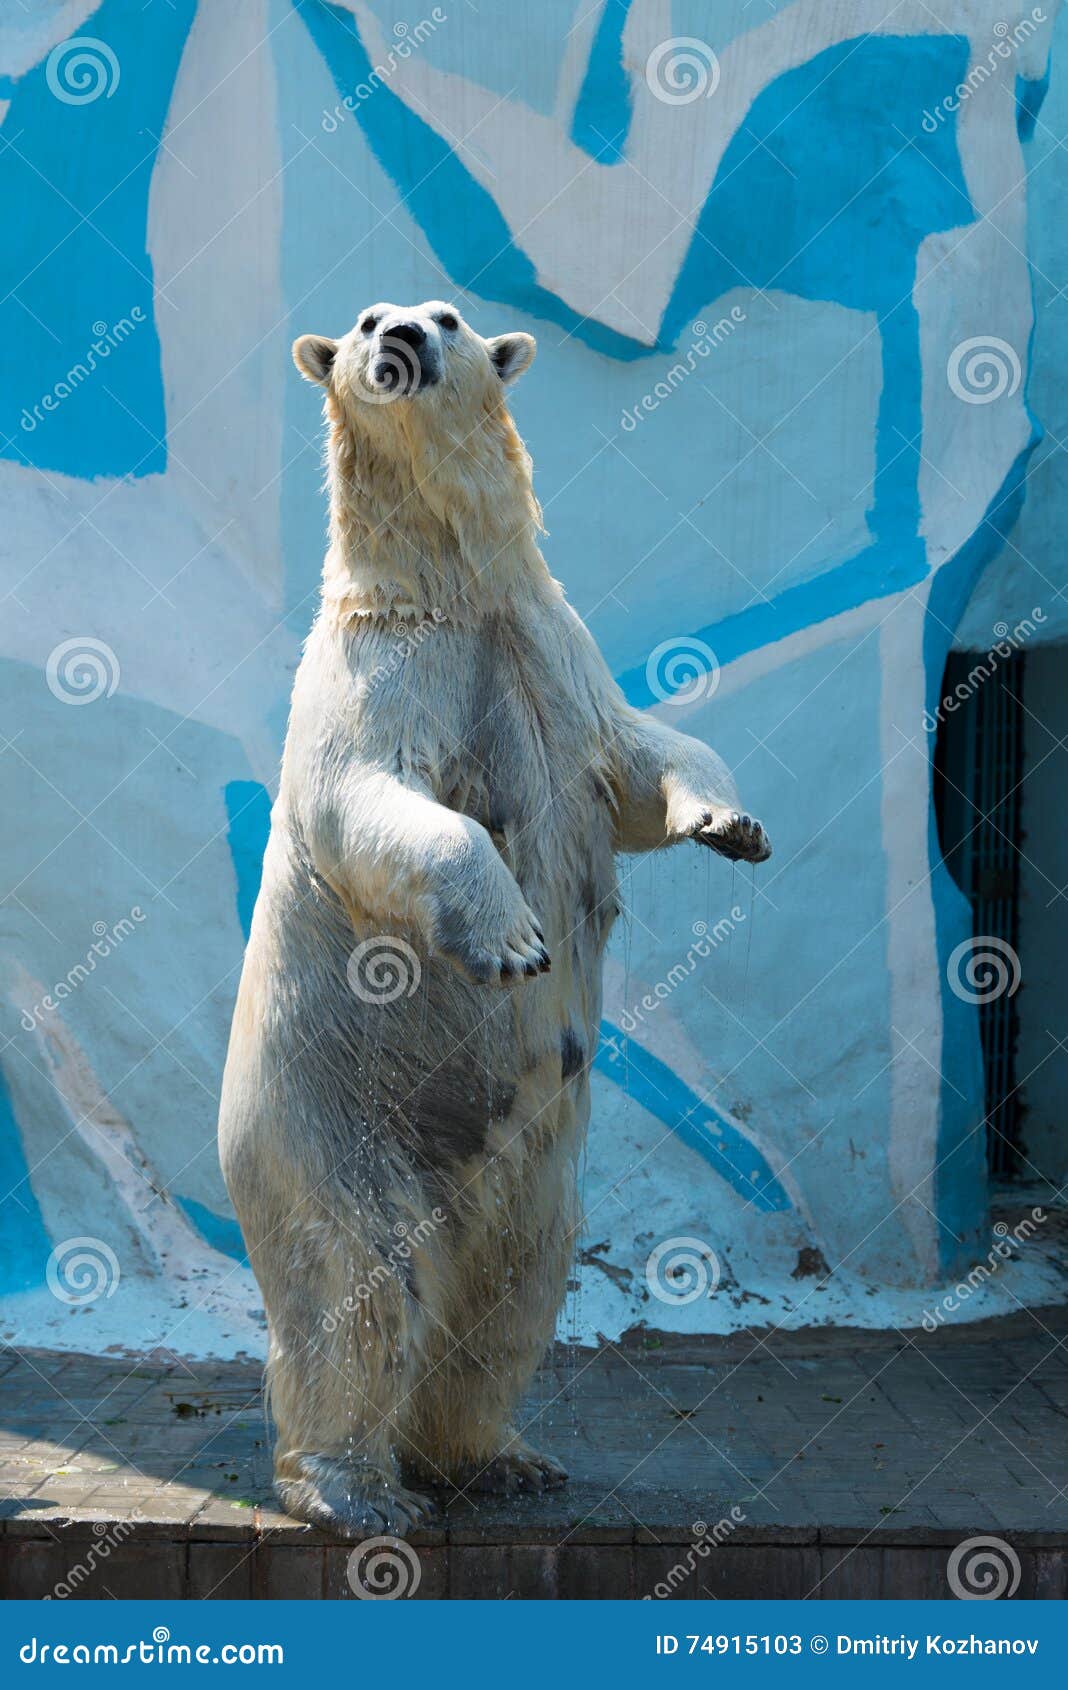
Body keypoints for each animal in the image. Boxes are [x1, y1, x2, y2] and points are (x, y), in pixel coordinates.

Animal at [216, 297, 770, 1541]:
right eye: (365, 318)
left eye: (450, 314)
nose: (402, 338)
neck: (455, 588)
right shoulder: (384, 671)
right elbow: (375, 803)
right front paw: (514, 937)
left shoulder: (554, 655)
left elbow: (641, 763)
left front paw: (734, 821)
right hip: (328, 1124)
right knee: (355, 1287)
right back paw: (355, 1487)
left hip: (531, 1169)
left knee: (508, 1292)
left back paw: (492, 1454)